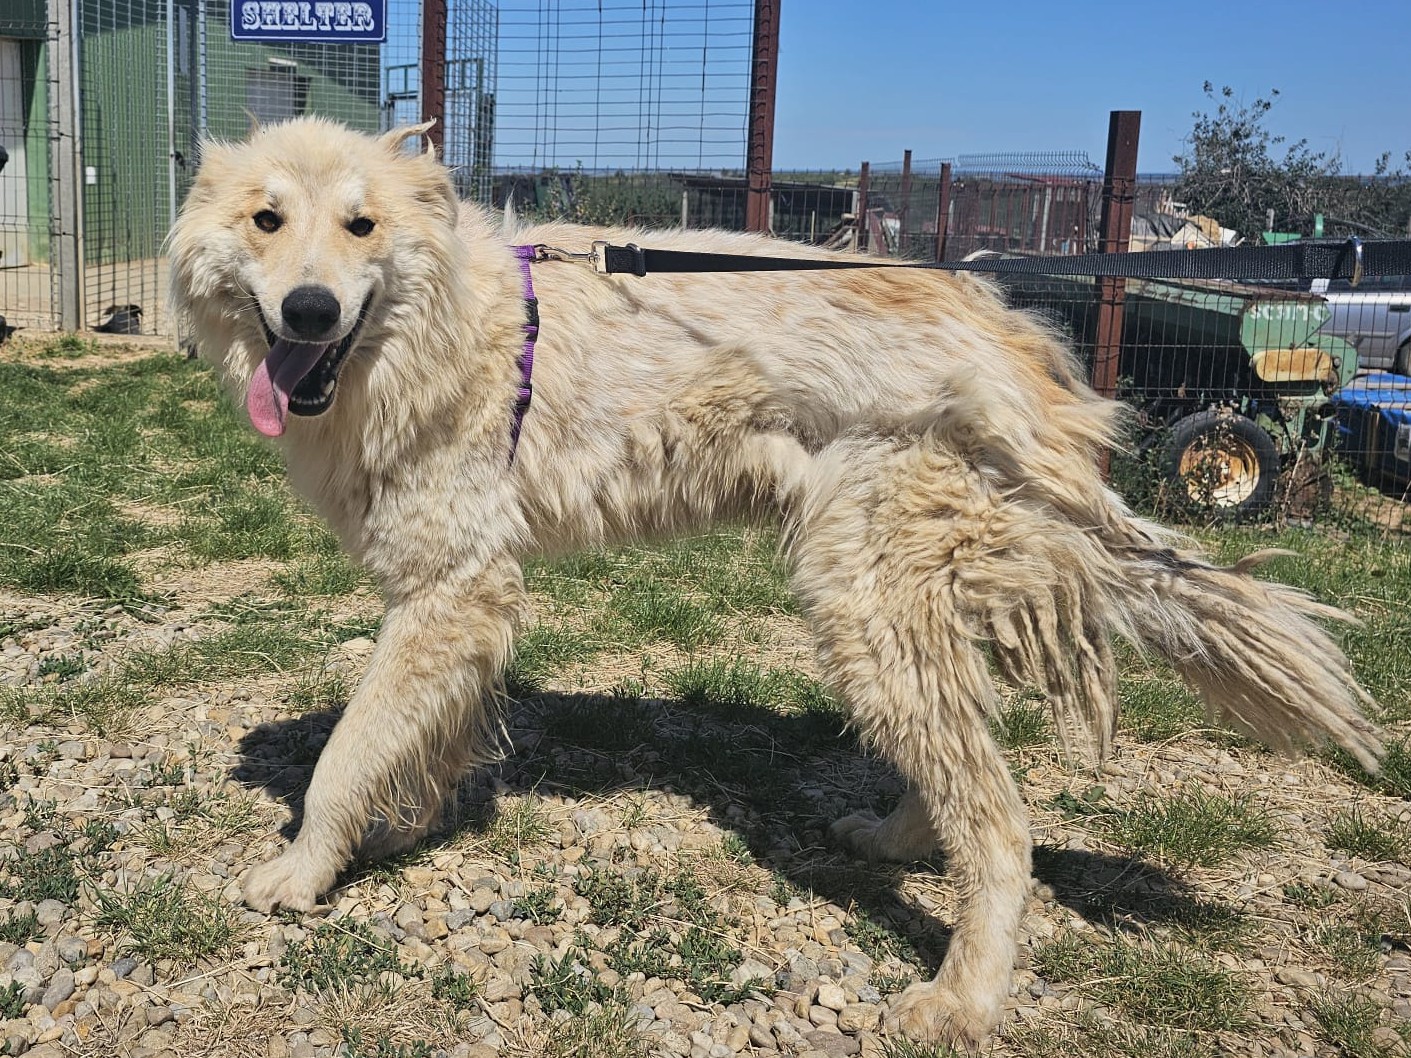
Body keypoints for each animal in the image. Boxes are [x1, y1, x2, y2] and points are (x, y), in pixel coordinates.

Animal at [168, 118, 1383, 1047]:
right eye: (267, 220)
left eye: (360, 226)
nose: (311, 310)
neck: (449, 326)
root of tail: (1019, 343)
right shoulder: (456, 602)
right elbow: (420, 740)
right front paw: (402, 828)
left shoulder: (450, 589)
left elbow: (344, 752)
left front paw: (303, 871)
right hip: (893, 610)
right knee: (962, 767)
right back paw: (897, 837)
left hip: (860, 605)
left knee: (1003, 827)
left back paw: (958, 998)